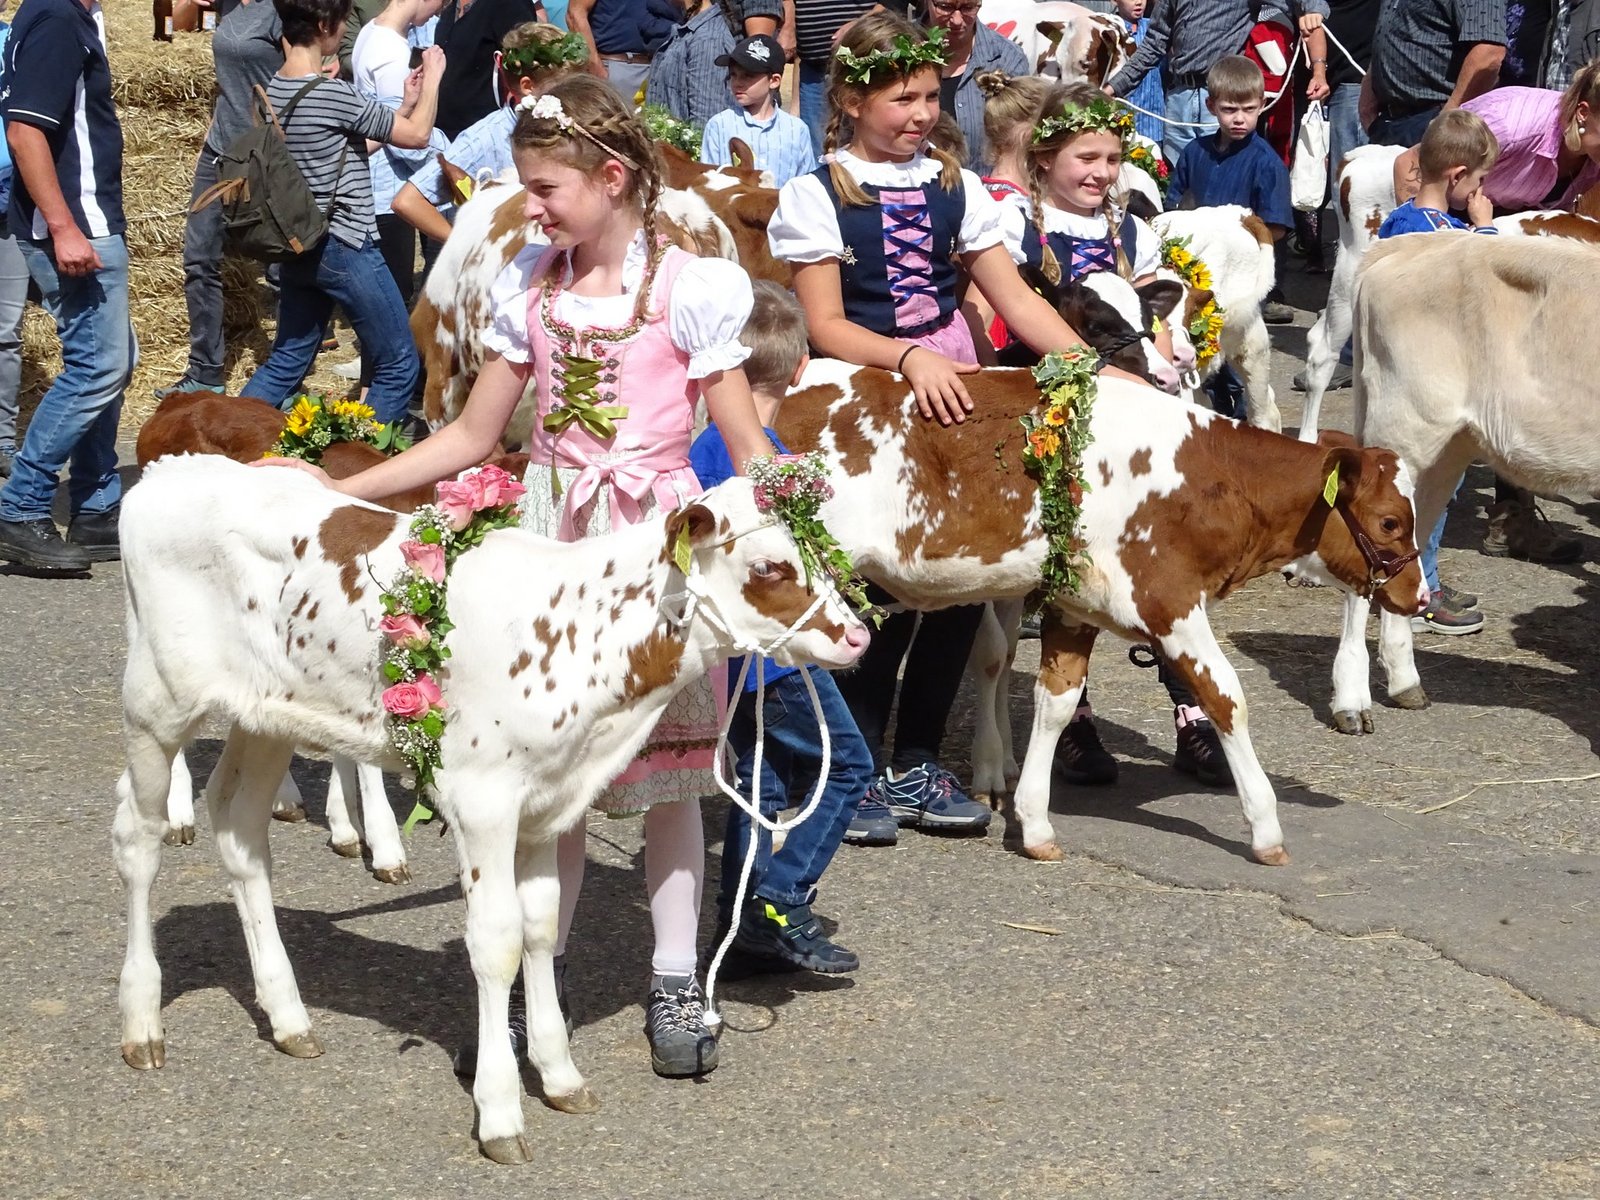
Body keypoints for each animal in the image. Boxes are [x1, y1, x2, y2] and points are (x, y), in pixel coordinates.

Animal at [113, 458, 868, 1164]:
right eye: (769, 566)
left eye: (821, 553)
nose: (858, 637)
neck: (581, 630)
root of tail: (170, 470)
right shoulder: (482, 802)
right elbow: (496, 944)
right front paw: (501, 1110)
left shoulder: (546, 805)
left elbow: (541, 927)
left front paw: (559, 1074)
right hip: (156, 701)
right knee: (137, 839)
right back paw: (142, 1020)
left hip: (268, 715)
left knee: (240, 828)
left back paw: (288, 1015)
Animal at [774, 362, 1427, 867]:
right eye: (1391, 521)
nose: (1420, 597)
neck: (1215, 477)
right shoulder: (1171, 603)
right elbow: (1227, 698)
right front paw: (1265, 828)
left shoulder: (1075, 604)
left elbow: (1057, 702)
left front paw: (1034, 823)